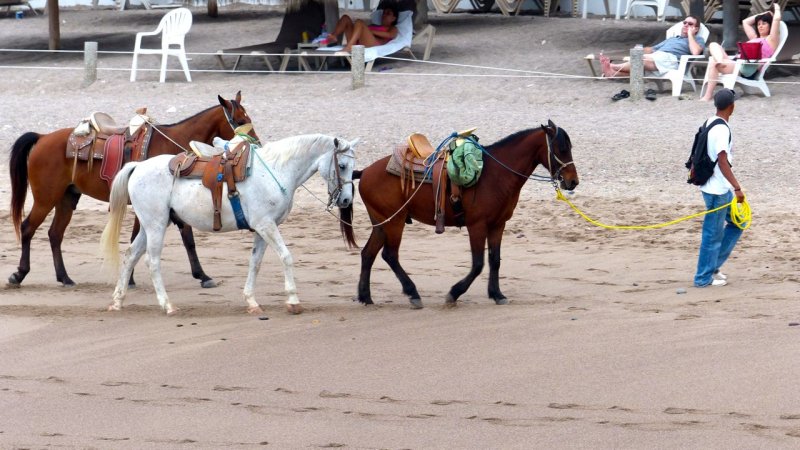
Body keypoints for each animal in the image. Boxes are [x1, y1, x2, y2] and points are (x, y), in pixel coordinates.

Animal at [7, 92, 258, 288]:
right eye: (239, 119)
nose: (255, 142)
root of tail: (42, 138)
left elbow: (177, 238)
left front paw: (200, 275)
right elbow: (169, 237)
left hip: (67, 199)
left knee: (55, 234)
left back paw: (64, 278)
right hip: (45, 198)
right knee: (28, 228)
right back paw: (19, 274)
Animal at [101, 135, 358, 314]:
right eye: (342, 166)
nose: (346, 200)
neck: (275, 171)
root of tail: (138, 166)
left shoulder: (262, 229)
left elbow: (255, 263)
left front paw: (252, 301)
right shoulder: (266, 225)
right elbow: (286, 256)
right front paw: (293, 301)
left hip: (150, 225)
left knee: (130, 255)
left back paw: (117, 301)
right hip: (156, 226)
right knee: (152, 261)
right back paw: (167, 305)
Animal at [354, 120, 580, 310]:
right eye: (561, 149)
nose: (573, 181)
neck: (495, 174)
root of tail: (365, 171)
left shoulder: (498, 225)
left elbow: (494, 260)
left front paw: (497, 294)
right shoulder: (477, 226)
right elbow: (478, 264)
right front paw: (454, 293)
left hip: (382, 222)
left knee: (368, 254)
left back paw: (366, 296)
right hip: (395, 222)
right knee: (390, 255)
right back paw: (413, 293)